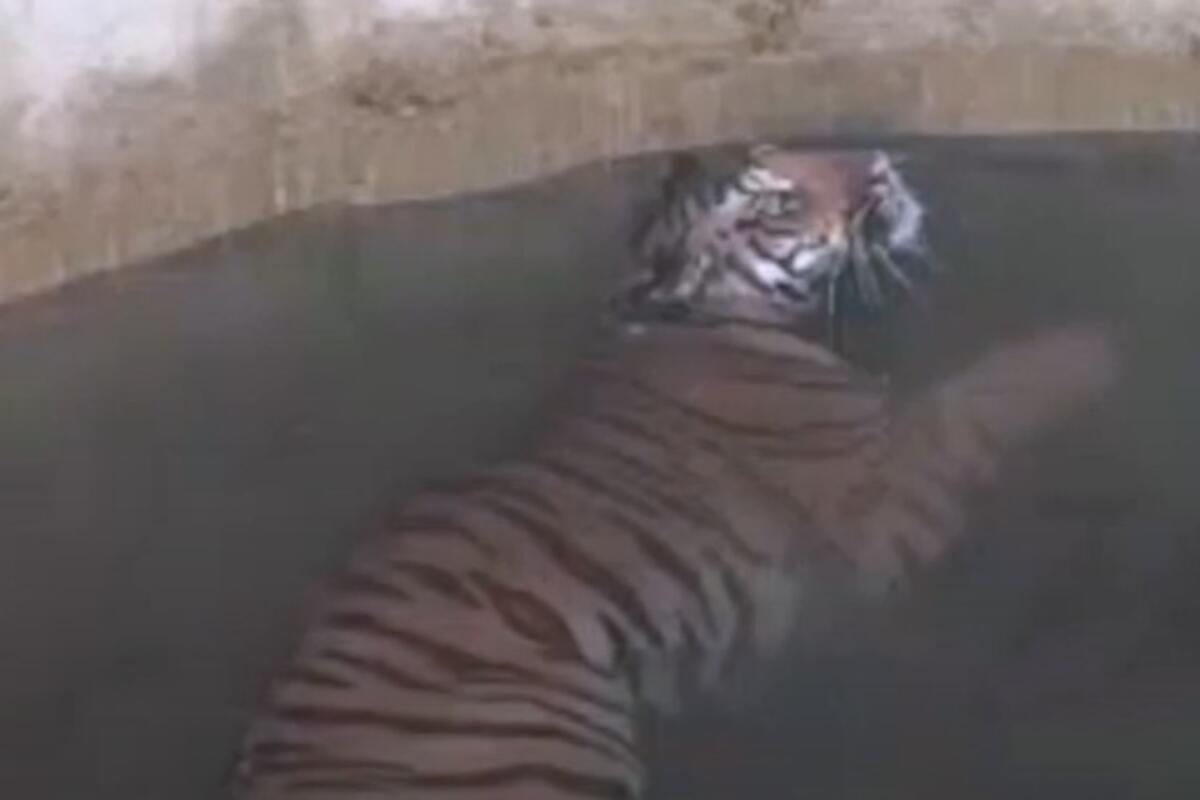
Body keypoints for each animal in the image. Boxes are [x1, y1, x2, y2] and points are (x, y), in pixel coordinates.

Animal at [230, 145, 1119, 799]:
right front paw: (1105, 342)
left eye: (797, 151)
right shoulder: (890, 495)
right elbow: (995, 391)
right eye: (778, 202)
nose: (877, 168)